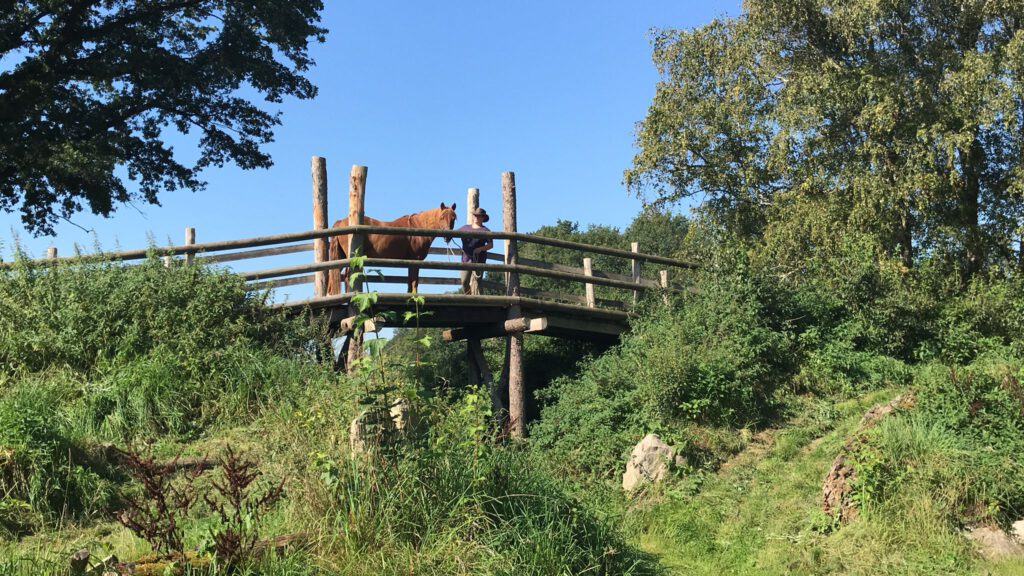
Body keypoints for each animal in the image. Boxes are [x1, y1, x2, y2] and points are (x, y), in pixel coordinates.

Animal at [325, 201, 458, 293]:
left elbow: (410, 282)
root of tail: (341, 222)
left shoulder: (410, 261)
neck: (418, 228)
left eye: (453, 218)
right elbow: (415, 282)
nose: (448, 236)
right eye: (442, 217)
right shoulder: (416, 260)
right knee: (347, 276)